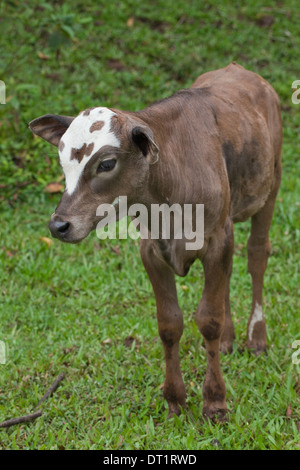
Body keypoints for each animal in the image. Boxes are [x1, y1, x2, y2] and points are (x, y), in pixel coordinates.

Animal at [29, 63, 282, 422]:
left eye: (106, 163)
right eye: (64, 162)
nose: (59, 225)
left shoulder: (216, 239)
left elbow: (209, 320)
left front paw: (214, 401)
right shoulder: (152, 249)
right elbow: (169, 324)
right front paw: (175, 398)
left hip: (271, 186)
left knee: (257, 256)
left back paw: (256, 336)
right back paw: (230, 340)